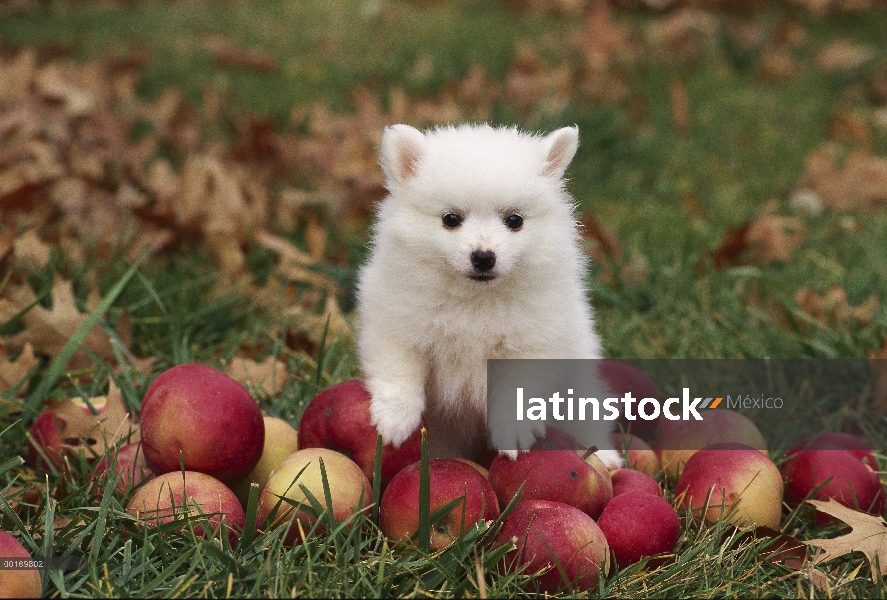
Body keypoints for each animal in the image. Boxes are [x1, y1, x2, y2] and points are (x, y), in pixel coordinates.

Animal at [358, 123, 620, 468]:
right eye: (451, 219)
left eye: (515, 221)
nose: (483, 257)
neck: (475, 299)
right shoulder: (396, 323)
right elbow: (399, 371)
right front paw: (394, 420)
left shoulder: (530, 345)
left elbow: (516, 392)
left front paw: (514, 435)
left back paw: (604, 456)